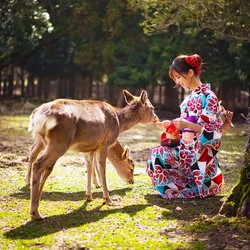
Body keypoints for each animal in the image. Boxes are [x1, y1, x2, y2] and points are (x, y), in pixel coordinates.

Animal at [26, 89, 158, 219]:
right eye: (152, 108)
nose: (156, 118)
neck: (119, 122)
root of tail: (38, 116)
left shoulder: (89, 148)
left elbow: (89, 168)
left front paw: (89, 196)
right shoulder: (104, 144)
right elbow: (102, 169)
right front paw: (108, 199)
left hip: (47, 142)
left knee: (45, 166)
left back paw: (36, 203)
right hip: (59, 142)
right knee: (38, 164)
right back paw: (35, 212)